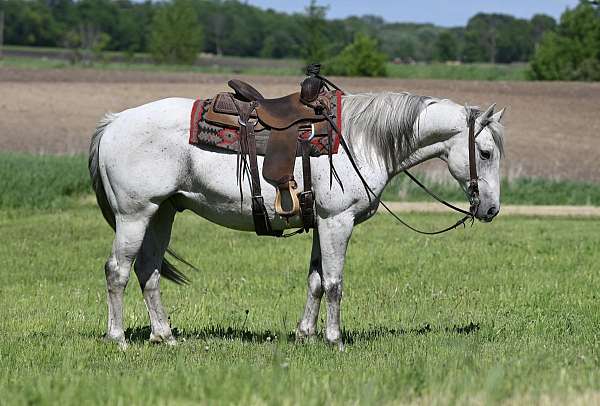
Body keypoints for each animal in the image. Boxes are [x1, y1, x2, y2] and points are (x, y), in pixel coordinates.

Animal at [86, 92, 504, 348]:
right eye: (484, 152)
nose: (491, 209)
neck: (361, 142)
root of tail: (113, 122)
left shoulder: (323, 223)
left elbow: (316, 280)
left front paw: (306, 335)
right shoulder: (337, 221)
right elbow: (334, 283)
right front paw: (335, 339)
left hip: (162, 212)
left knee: (149, 271)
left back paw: (165, 336)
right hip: (134, 215)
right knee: (117, 271)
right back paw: (118, 338)